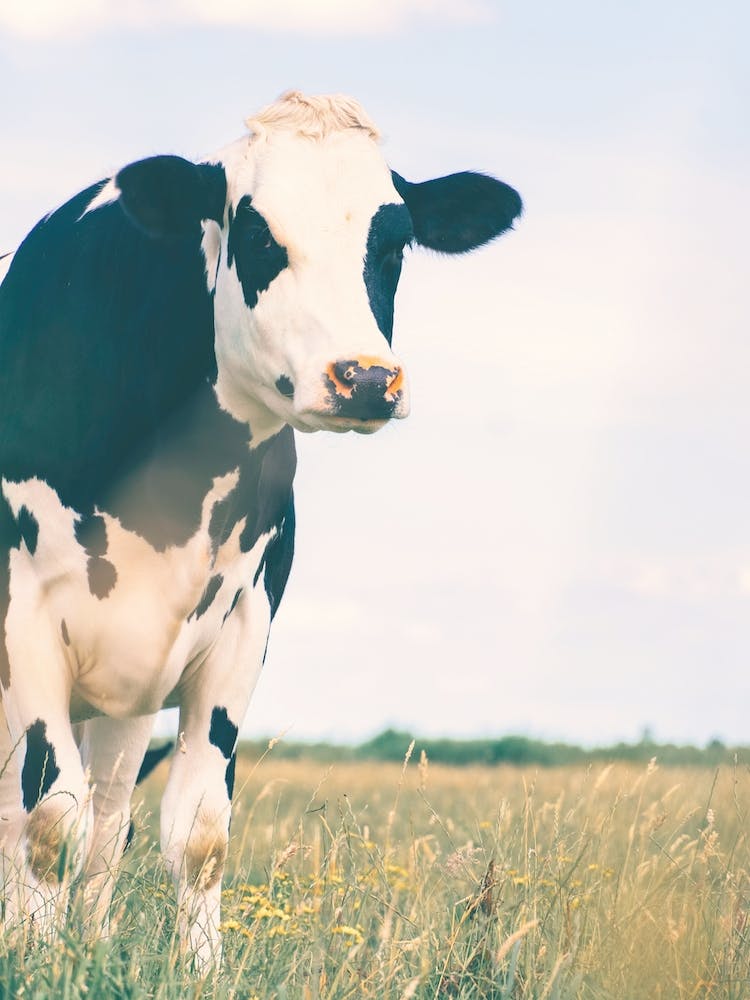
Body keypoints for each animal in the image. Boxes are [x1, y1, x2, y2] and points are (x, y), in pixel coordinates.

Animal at [0, 91, 521, 968]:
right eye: (257, 236)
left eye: (395, 243)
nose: (367, 378)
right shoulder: (25, 615)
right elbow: (46, 820)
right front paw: (35, 965)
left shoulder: (242, 622)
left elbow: (194, 831)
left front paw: (193, 969)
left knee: (109, 819)